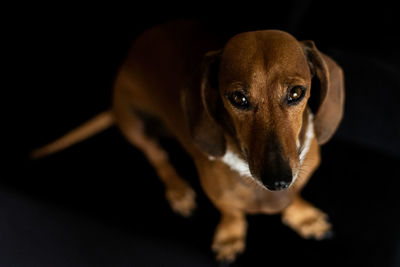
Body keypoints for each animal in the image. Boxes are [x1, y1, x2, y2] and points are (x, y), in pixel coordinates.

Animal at [30, 20, 344, 262]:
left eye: (296, 92)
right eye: (238, 98)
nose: (278, 181)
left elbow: (294, 197)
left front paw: (302, 217)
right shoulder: (215, 191)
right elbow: (231, 212)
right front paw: (230, 236)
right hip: (134, 124)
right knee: (157, 156)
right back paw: (178, 190)